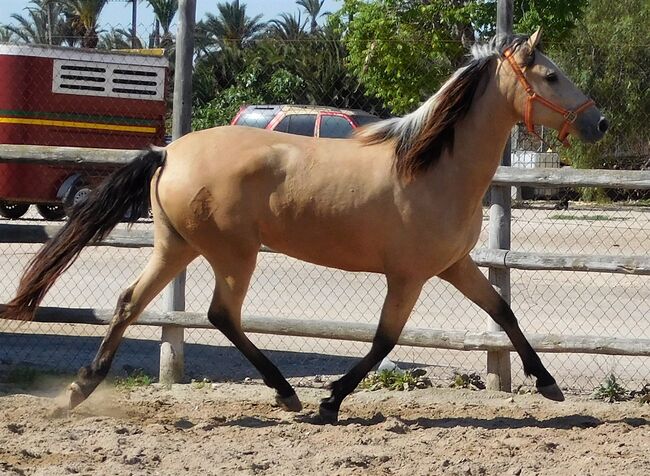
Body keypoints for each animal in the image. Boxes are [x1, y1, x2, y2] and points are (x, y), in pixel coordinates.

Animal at [2, 29, 604, 422]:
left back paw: (80, 389)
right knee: (220, 314)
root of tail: (168, 152)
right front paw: (329, 403)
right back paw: (288, 394)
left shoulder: (454, 265)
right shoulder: (408, 276)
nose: (599, 122)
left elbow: (504, 312)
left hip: (177, 247)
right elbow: (384, 341)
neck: (432, 168)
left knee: (131, 301)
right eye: (551, 75)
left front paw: (549, 384)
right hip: (232, 254)